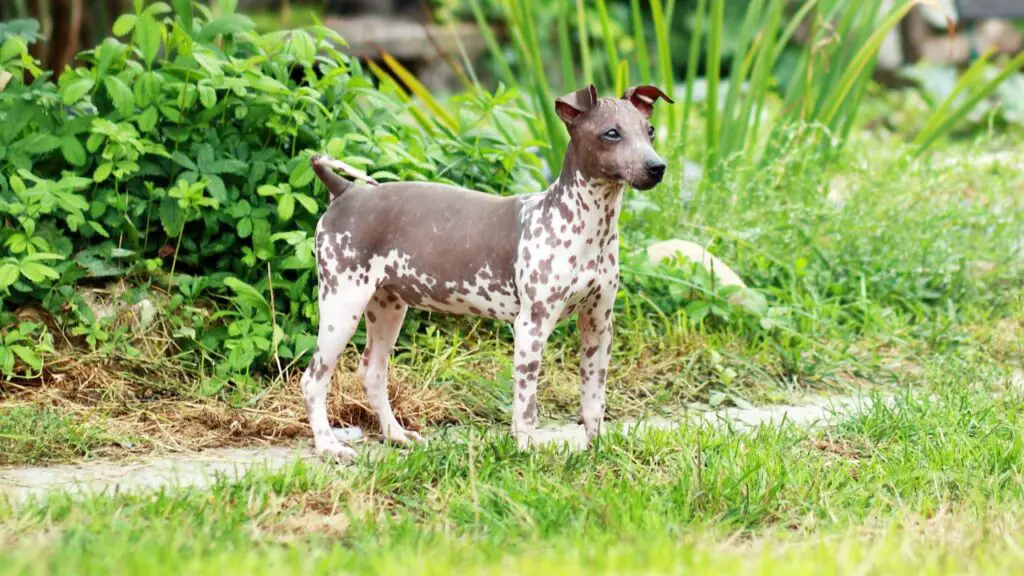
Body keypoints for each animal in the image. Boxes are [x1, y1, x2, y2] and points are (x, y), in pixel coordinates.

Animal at [299, 83, 675, 459]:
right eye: (611, 133)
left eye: (650, 132)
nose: (657, 167)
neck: (585, 226)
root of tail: (345, 191)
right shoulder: (531, 328)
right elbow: (526, 406)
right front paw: (525, 451)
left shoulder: (598, 324)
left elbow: (593, 400)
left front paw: (597, 450)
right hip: (342, 306)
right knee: (313, 379)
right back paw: (328, 446)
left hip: (388, 307)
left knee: (372, 373)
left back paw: (396, 435)